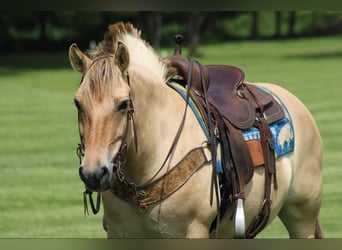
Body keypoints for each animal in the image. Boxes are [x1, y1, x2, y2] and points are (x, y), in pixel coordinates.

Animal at [69, 22, 324, 238]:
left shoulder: (194, 231)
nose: (93, 173)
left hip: (302, 215)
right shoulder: (120, 233)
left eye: (123, 104)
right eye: (78, 103)